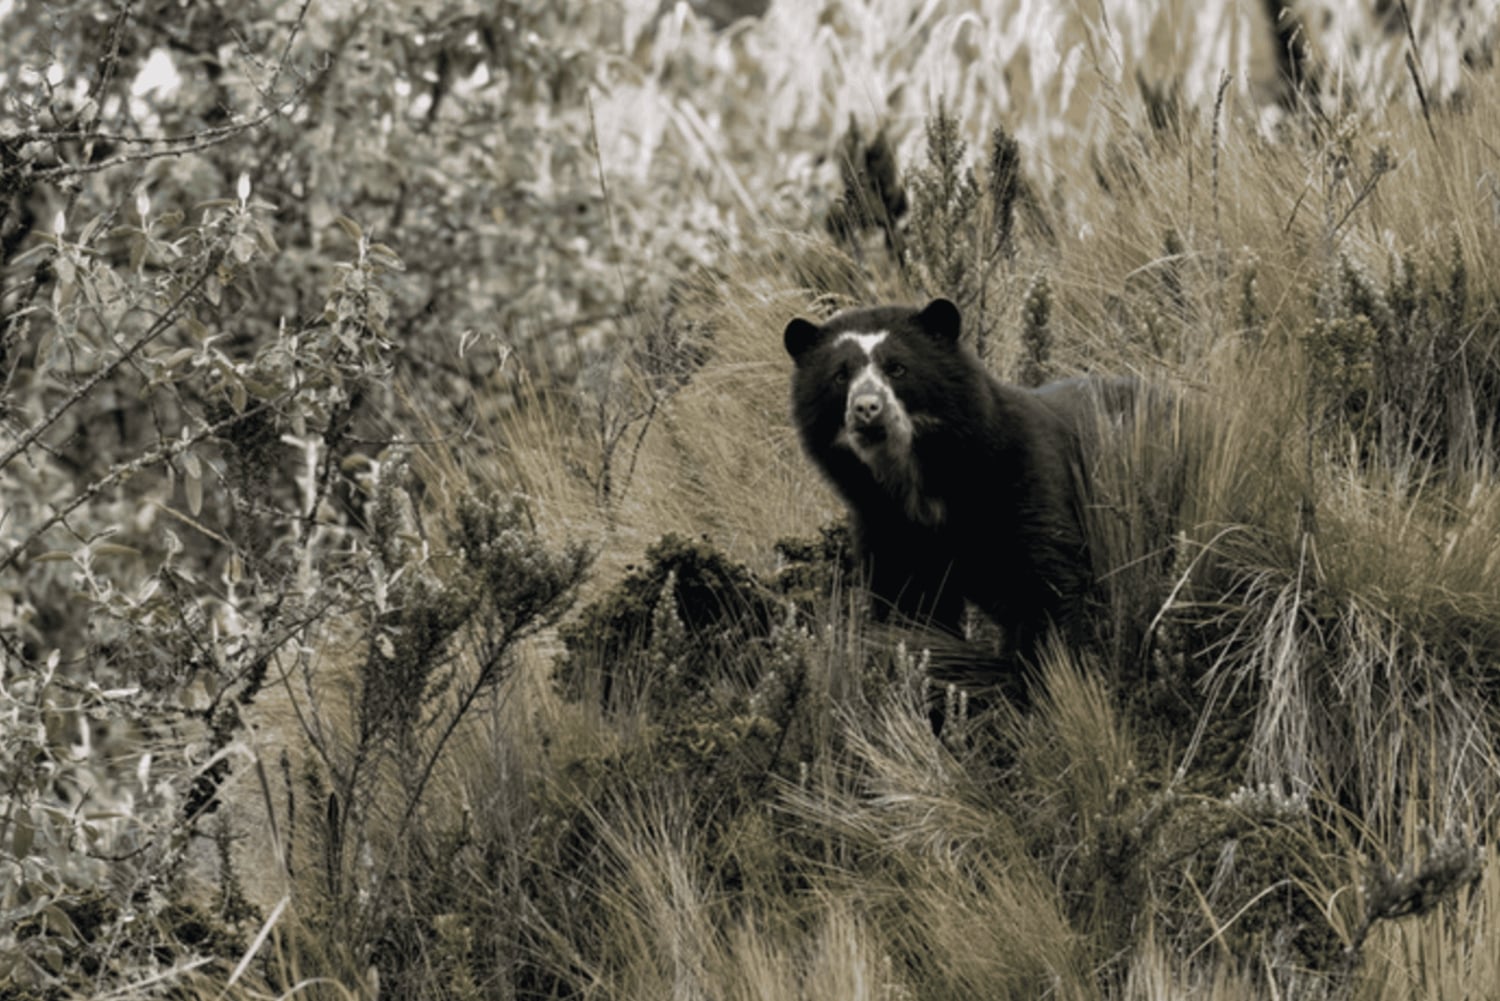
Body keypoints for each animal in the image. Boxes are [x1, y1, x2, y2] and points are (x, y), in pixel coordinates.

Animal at [784, 297, 1130, 660]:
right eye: (840, 376)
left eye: (897, 368)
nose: (867, 409)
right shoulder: (885, 523)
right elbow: (909, 607)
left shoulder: (1021, 486)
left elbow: (1044, 588)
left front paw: (1045, 666)